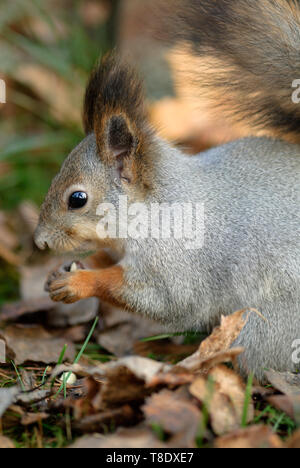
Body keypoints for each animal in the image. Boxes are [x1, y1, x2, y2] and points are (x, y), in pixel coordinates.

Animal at [34, 0, 298, 380]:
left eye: (77, 199)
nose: (39, 242)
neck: (158, 207)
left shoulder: (177, 261)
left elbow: (162, 299)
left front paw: (81, 282)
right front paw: (74, 267)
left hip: (268, 325)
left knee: (245, 358)